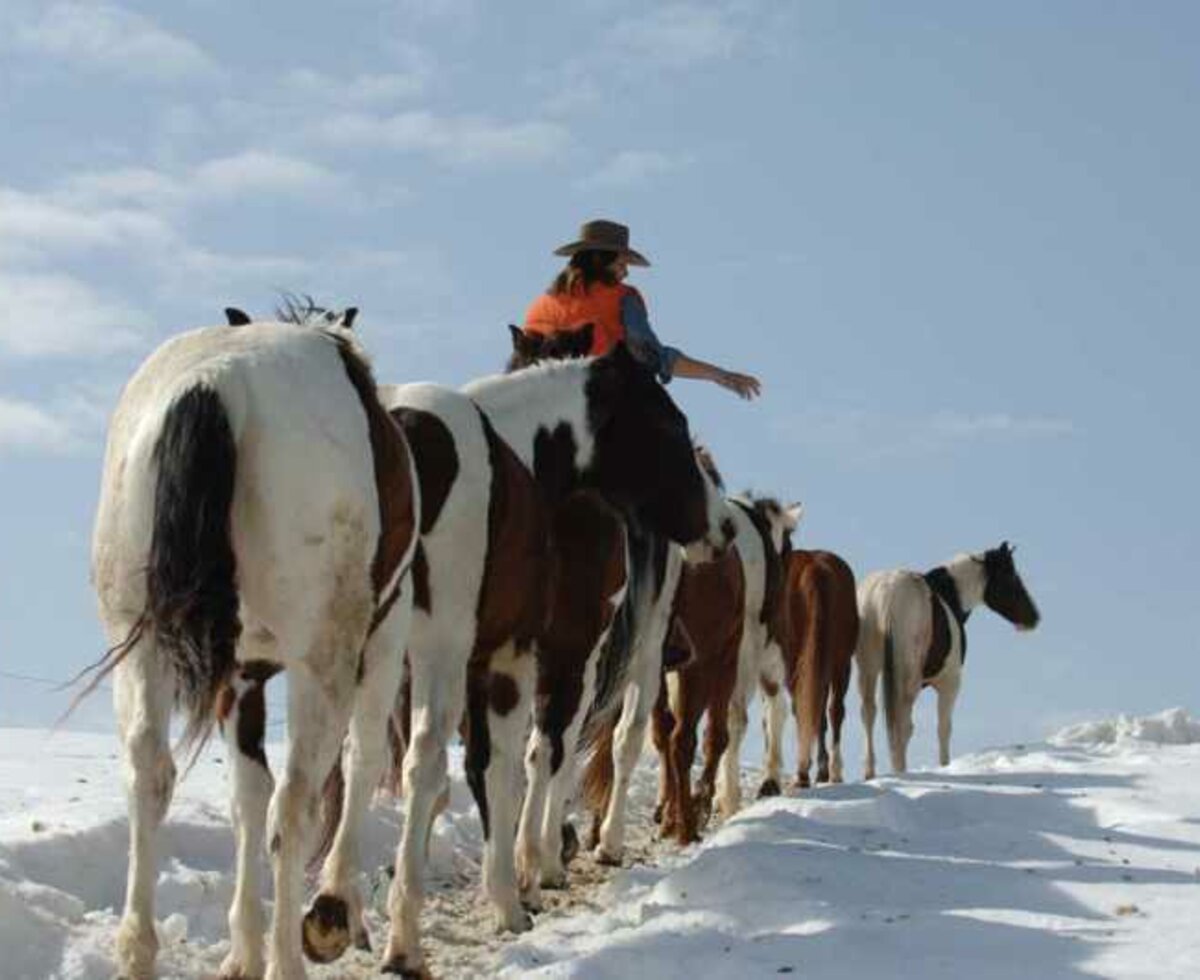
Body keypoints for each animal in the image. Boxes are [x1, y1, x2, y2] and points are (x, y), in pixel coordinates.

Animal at [87, 307, 417, 978]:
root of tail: (214, 383)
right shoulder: (382, 637)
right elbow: (361, 759)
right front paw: (331, 911)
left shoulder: (239, 678)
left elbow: (246, 792)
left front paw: (243, 947)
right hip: (326, 661)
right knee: (295, 804)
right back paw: (290, 955)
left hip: (143, 649)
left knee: (151, 776)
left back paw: (141, 951)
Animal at [782, 551, 859, 786]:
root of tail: (815, 568)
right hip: (840, 662)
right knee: (834, 711)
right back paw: (831, 771)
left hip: (796, 663)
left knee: (805, 708)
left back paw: (806, 771)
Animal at [854, 539, 1041, 777]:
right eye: (1011, 575)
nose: (1034, 617)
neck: (948, 596)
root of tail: (887, 592)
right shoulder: (949, 683)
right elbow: (944, 728)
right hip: (908, 679)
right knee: (902, 724)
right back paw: (900, 769)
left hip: (867, 669)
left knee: (868, 712)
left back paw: (870, 771)